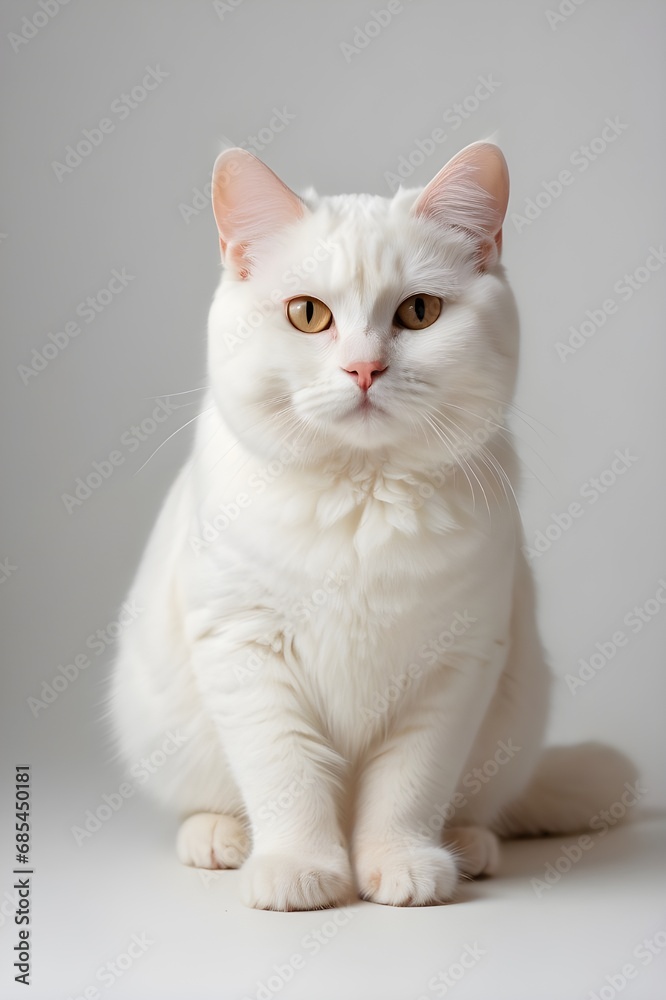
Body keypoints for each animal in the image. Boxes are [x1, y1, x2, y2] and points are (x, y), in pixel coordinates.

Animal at [110, 143, 632, 916]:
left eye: (419, 312)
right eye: (307, 314)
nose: (365, 368)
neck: (362, 498)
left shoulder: (455, 665)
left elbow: (408, 787)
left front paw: (401, 865)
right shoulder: (243, 648)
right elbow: (288, 776)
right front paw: (300, 870)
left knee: (481, 805)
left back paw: (470, 848)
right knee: (208, 801)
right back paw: (219, 839)